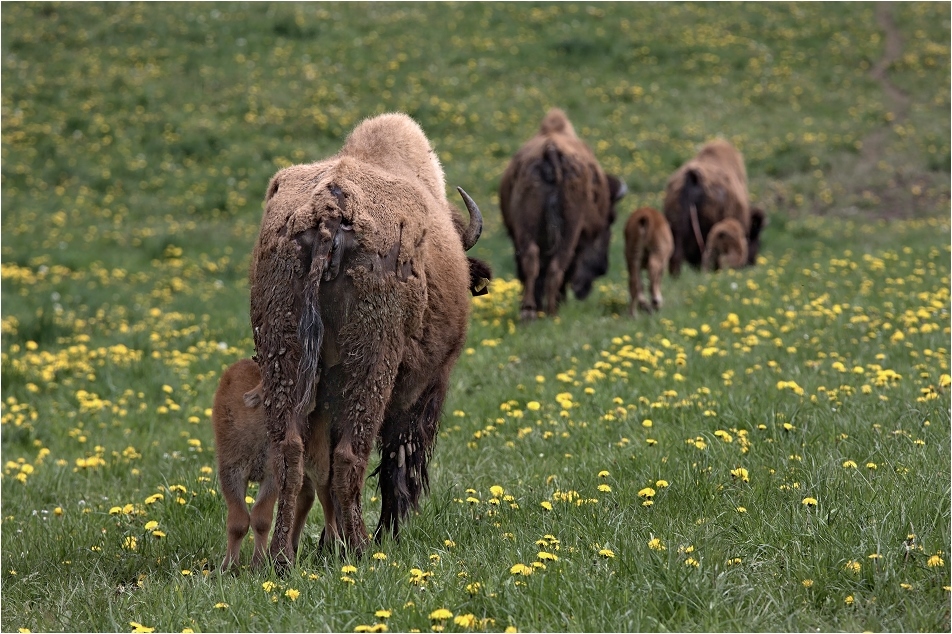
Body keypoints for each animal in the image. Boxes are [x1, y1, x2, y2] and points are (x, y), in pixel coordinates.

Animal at [249, 111, 484, 564]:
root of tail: (329, 211)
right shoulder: (422, 390)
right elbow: (397, 461)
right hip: (372, 366)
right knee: (351, 457)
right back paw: (362, 548)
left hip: (283, 359)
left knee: (290, 456)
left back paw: (282, 557)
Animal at [498, 107, 624, 320]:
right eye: (611, 219)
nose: (603, 268)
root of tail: (552, 150)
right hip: (570, 231)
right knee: (558, 266)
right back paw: (552, 312)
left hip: (526, 227)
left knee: (531, 260)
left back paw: (529, 311)